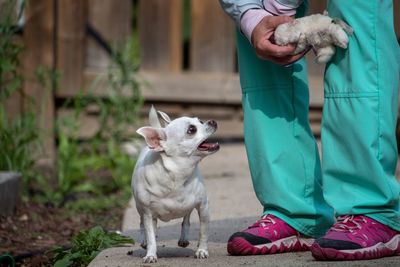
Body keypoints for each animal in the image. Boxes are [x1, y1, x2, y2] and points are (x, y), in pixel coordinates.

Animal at [131, 106, 219, 264]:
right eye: (191, 129)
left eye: (200, 121)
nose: (212, 121)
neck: (177, 175)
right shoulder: (148, 214)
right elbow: (151, 236)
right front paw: (150, 254)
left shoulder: (203, 207)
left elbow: (203, 232)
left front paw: (202, 250)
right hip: (139, 208)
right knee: (142, 224)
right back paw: (144, 241)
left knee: (186, 218)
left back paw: (184, 237)